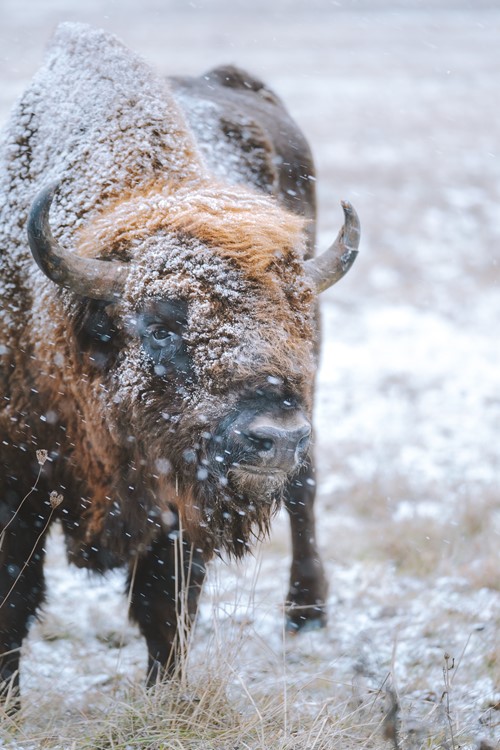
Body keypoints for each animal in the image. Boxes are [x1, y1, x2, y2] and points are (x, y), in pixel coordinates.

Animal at [0, 23, 360, 704]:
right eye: (161, 324)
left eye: (294, 320)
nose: (274, 437)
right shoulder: (14, 482)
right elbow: (15, 598)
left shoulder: (176, 500)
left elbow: (163, 604)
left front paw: (166, 695)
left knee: (304, 489)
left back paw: (306, 615)